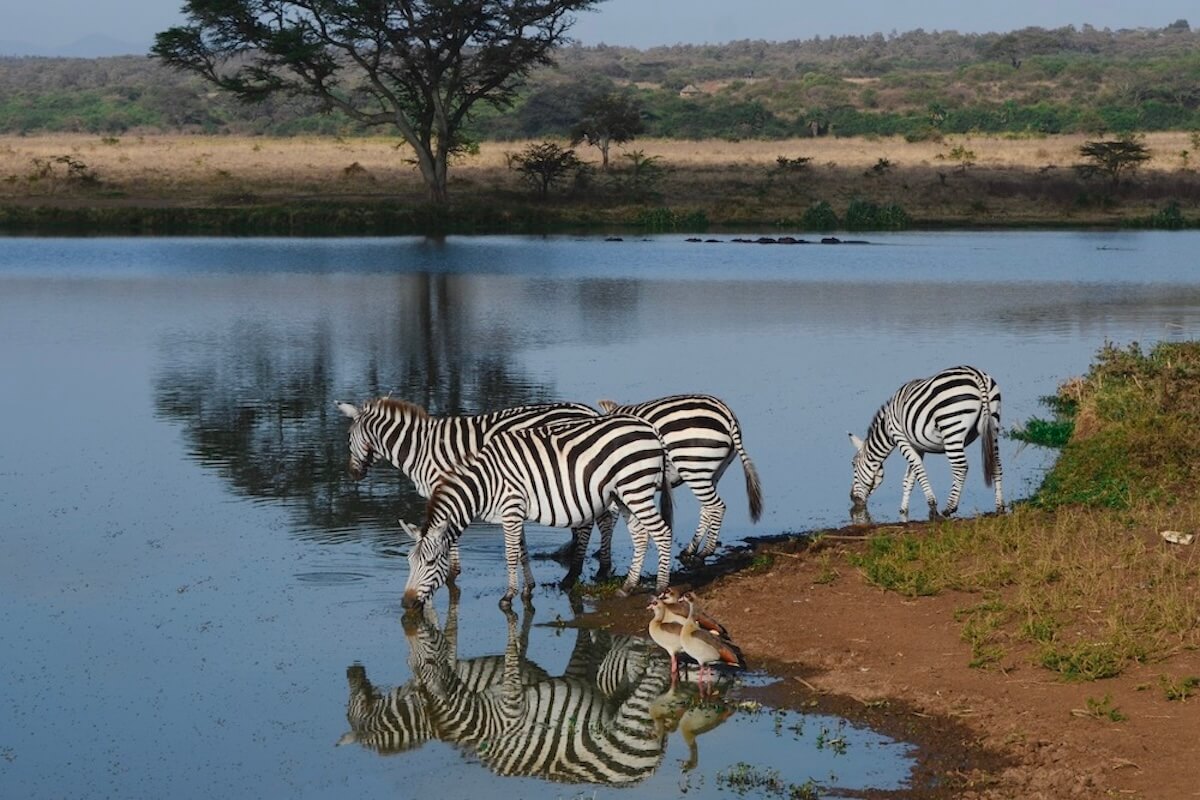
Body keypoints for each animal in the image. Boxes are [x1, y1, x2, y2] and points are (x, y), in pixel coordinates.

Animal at [335, 397, 616, 585]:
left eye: (347, 437)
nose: (353, 475)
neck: (420, 448)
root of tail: (589, 411)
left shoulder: (447, 486)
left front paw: (451, 572)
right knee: (601, 517)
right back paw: (590, 563)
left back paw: (578, 568)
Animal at [401, 414, 675, 608]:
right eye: (409, 562)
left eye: (431, 562)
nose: (406, 603)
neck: (486, 483)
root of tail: (650, 428)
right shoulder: (514, 513)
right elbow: (522, 552)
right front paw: (527, 589)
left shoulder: (511, 509)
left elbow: (511, 555)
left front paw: (508, 596)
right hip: (625, 494)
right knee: (641, 536)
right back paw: (628, 587)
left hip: (636, 487)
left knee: (661, 532)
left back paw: (660, 587)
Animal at [597, 394, 763, 563]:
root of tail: (726, 414)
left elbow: (608, 519)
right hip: (714, 471)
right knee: (707, 508)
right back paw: (690, 549)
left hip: (693, 468)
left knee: (716, 506)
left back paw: (706, 551)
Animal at [848, 365, 1004, 519]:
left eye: (853, 465)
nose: (852, 498)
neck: (887, 425)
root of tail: (976, 375)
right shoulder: (917, 446)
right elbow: (909, 479)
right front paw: (903, 510)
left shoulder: (901, 438)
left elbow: (919, 471)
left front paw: (932, 506)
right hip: (993, 425)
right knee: (996, 464)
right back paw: (999, 507)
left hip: (951, 429)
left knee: (960, 467)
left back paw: (949, 508)